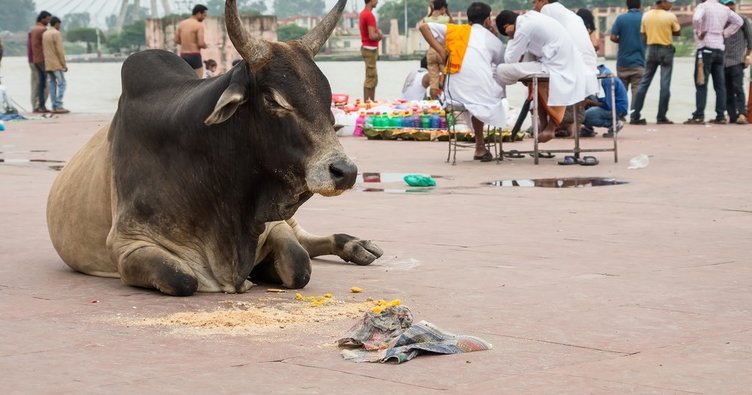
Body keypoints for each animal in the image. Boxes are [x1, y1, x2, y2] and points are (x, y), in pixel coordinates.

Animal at [45, 0, 382, 296]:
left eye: (327, 98)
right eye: (273, 100)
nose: (344, 171)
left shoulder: (273, 226)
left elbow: (299, 265)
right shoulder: (127, 244)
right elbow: (182, 279)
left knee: (306, 243)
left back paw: (356, 245)